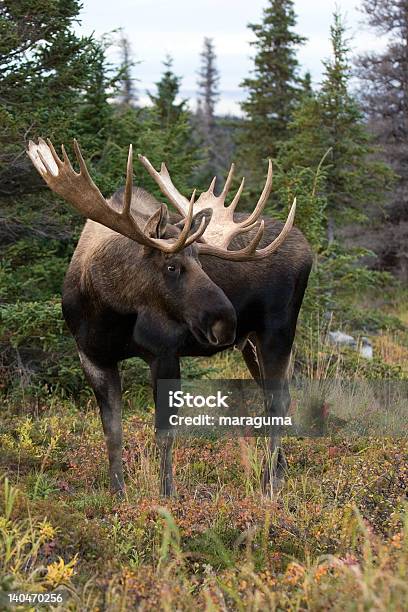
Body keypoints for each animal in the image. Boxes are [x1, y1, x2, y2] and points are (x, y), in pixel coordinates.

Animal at [27, 139, 312, 498]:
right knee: (272, 396)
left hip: (278, 331)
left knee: (278, 400)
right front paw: (118, 493)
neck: (107, 310)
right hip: (251, 342)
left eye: (202, 262)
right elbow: (112, 432)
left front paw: (167, 494)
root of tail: (307, 247)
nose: (225, 322)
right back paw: (279, 472)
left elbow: (164, 432)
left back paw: (267, 484)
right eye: (172, 266)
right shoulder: (92, 356)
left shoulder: (164, 353)